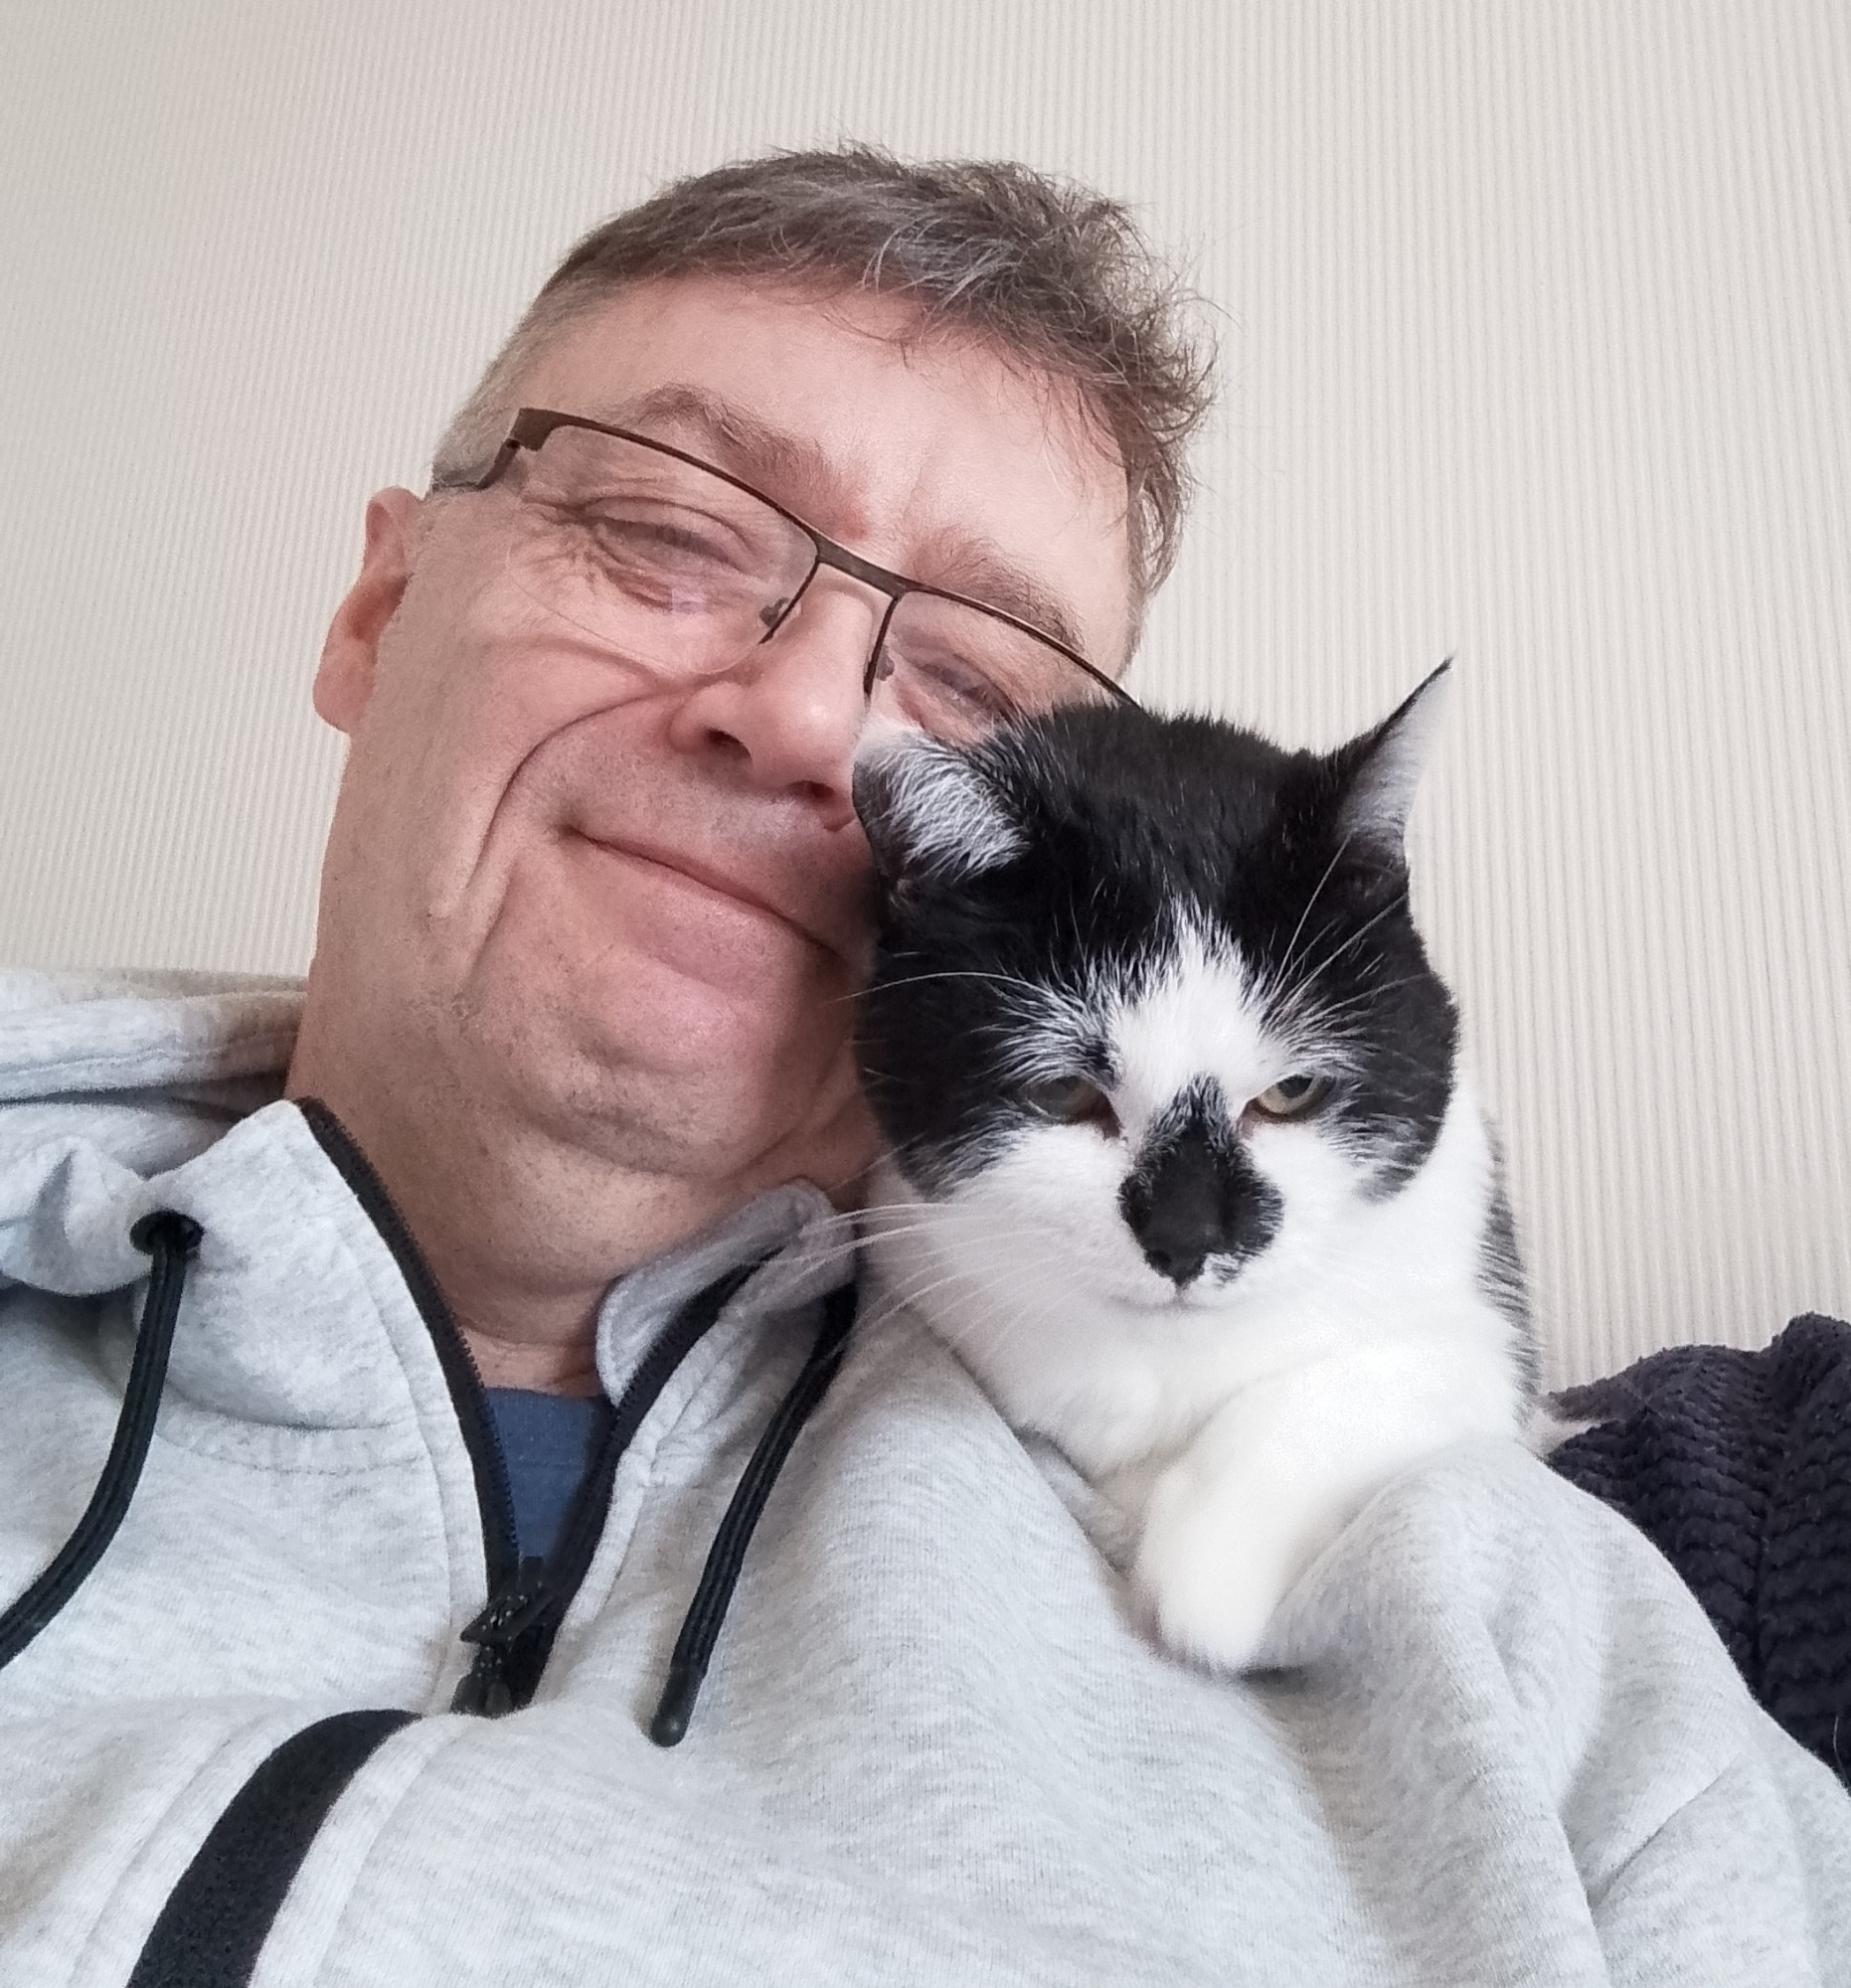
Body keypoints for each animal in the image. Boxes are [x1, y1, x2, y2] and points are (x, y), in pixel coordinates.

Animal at [851, 664, 1535, 1673]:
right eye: (1065, 1094)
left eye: (1289, 1092)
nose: (1185, 1238)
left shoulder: (1486, 1329)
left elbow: (1383, 1377)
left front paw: (1211, 1572)